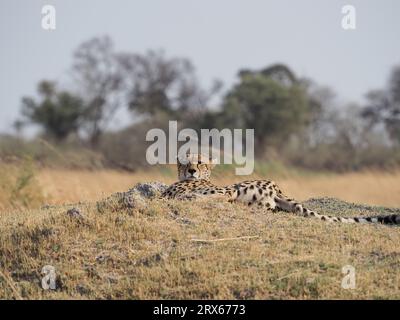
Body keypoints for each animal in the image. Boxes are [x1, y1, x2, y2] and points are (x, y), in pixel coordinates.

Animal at [162, 153, 400, 225]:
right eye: (185, 161)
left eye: (200, 162)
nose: (192, 171)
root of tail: (276, 186)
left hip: (239, 187)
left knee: (225, 195)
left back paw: (188, 199)